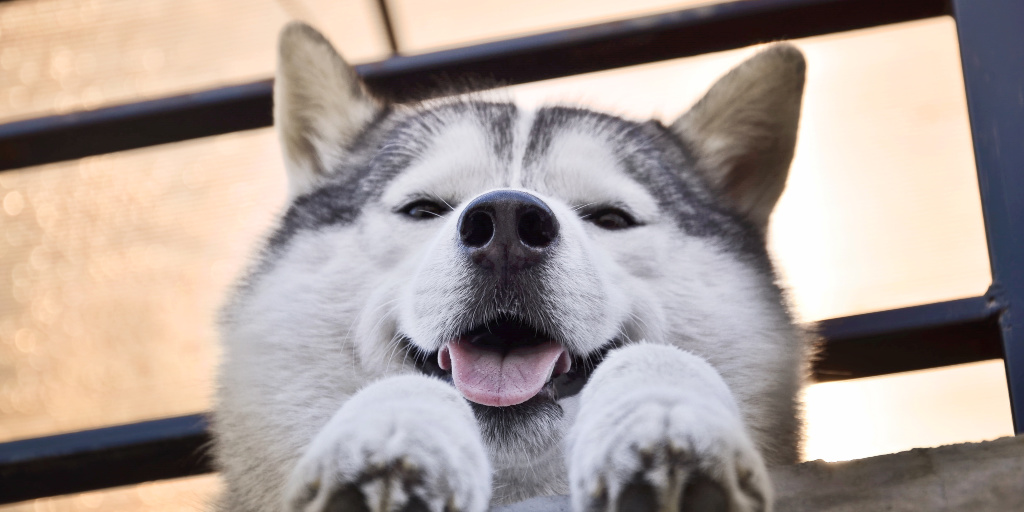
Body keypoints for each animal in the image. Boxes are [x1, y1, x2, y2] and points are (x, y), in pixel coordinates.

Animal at [214, 22, 806, 512]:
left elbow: (659, 360)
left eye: (610, 217)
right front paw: (394, 438)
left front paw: (663, 424)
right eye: (423, 209)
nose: (506, 225)